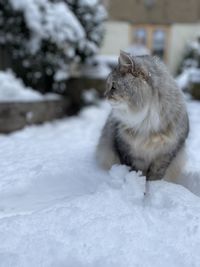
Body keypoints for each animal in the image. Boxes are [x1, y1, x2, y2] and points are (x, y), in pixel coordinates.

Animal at [95, 50, 189, 182]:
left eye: (113, 86)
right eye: (108, 86)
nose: (105, 95)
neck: (147, 120)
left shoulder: (167, 153)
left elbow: (156, 174)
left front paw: (153, 185)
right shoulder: (126, 149)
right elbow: (136, 171)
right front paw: (138, 183)